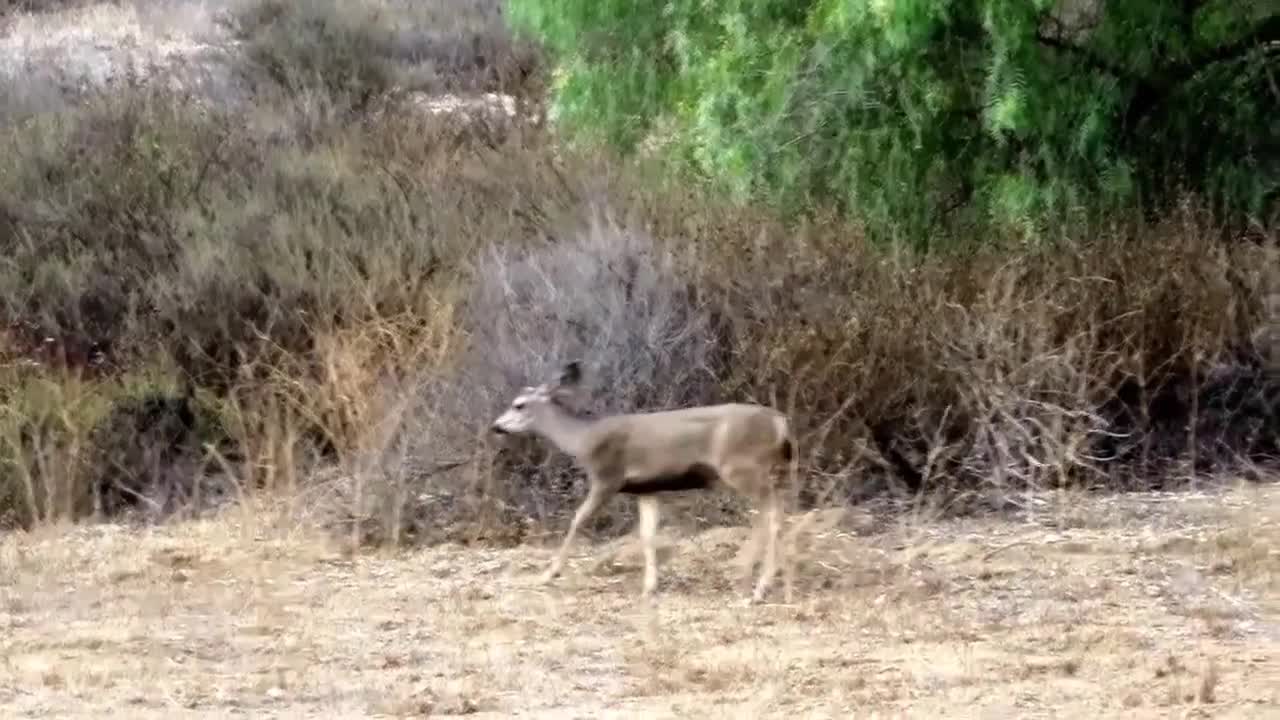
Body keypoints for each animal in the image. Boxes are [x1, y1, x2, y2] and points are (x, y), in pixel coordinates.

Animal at [491, 358, 798, 599]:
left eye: (519, 405)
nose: (496, 426)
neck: (582, 440)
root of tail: (781, 423)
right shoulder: (646, 489)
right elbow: (648, 534)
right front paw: (650, 586)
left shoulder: (607, 477)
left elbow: (578, 518)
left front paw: (549, 574)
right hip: (774, 470)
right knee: (776, 514)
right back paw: (775, 584)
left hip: (740, 467)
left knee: (769, 516)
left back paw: (758, 587)